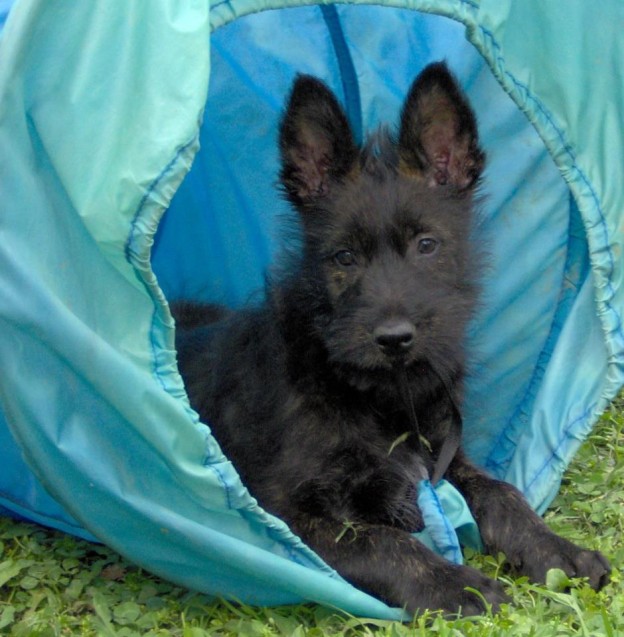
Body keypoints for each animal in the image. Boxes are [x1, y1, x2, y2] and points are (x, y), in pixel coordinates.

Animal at [173, 62, 612, 612]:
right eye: (344, 257)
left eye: (427, 245)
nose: (394, 338)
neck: (375, 395)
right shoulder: (281, 511)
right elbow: (379, 540)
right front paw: (454, 584)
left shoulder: (442, 453)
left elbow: (500, 491)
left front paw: (556, 549)